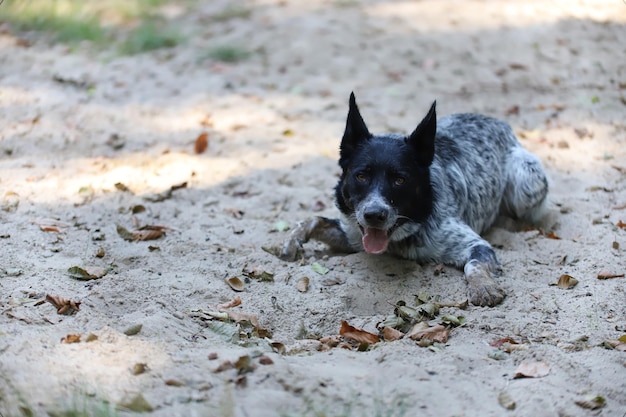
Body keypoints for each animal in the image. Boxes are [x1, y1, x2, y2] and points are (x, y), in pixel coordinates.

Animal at [278, 92, 544, 306]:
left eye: (400, 180)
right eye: (361, 176)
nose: (374, 215)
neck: (401, 236)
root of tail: (498, 122)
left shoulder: (477, 245)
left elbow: (474, 264)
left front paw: (483, 287)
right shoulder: (353, 235)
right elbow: (315, 219)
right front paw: (290, 240)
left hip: (527, 183)